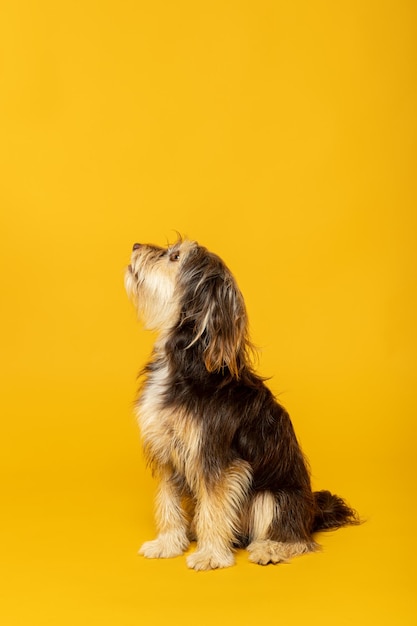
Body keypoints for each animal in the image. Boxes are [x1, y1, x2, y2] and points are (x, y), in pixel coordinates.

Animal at [124, 236, 358, 568]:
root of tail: (312, 512)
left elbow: (213, 507)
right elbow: (168, 503)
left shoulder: (217, 459)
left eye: (175, 257)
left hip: (273, 498)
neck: (187, 361)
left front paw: (210, 554)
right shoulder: (168, 451)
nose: (135, 245)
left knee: (298, 539)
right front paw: (168, 543)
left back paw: (270, 548)